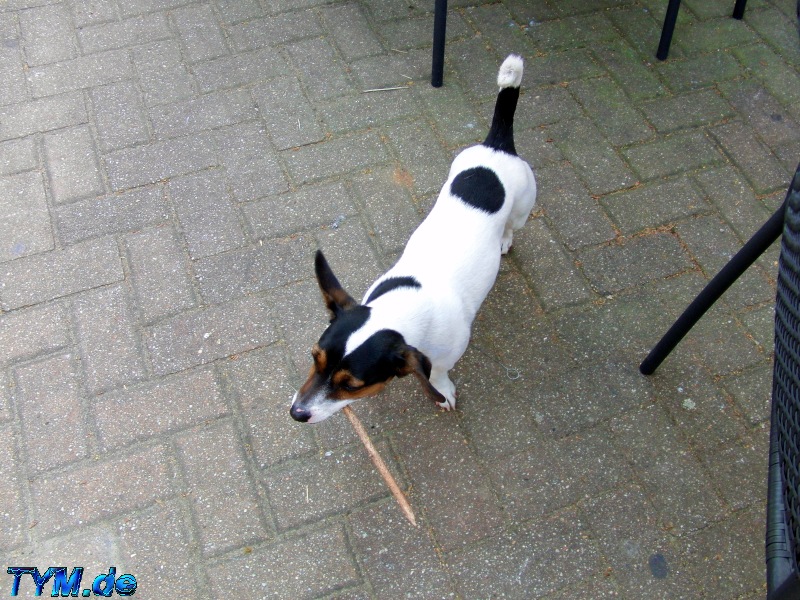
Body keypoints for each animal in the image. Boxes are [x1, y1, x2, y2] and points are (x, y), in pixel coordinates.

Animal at [290, 54, 536, 424]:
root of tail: (498, 146)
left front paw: (442, 391)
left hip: (522, 207)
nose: (296, 413)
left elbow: (438, 373)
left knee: (511, 226)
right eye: (313, 357)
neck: (406, 307)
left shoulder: (447, 354)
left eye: (351, 385)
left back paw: (505, 241)